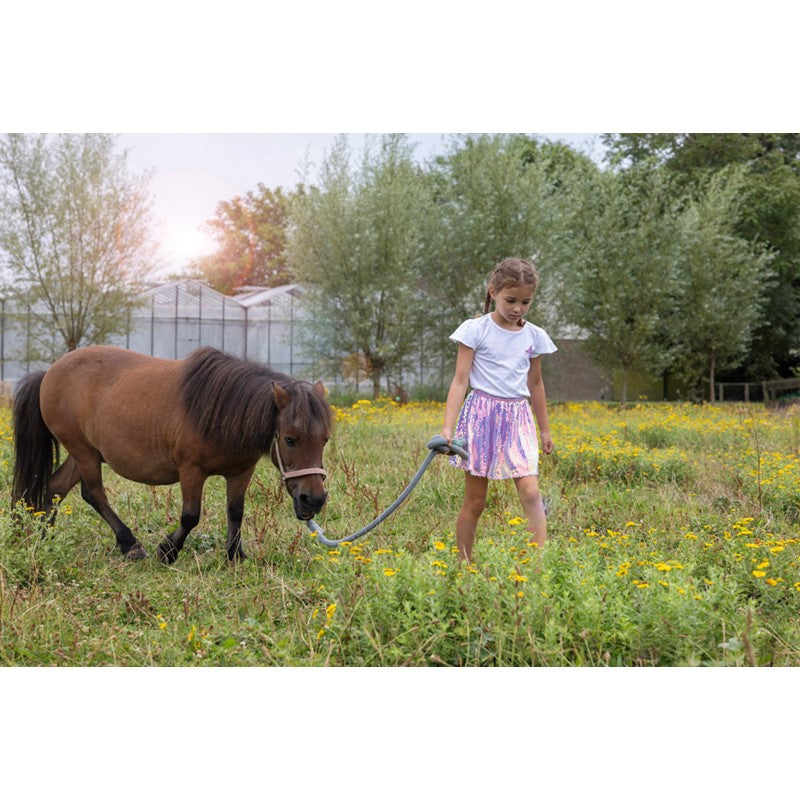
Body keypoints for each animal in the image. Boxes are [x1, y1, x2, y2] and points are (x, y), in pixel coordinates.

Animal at [12, 346, 332, 564]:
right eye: (290, 439)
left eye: (325, 439)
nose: (313, 500)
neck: (221, 411)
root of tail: (49, 373)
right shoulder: (191, 471)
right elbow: (190, 516)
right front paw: (168, 551)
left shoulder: (241, 472)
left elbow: (236, 512)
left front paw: (234, 554)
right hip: (83, 452)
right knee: (93, 494)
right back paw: (130, 544)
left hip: (87, 452)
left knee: (56, 487)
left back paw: (43, 535)